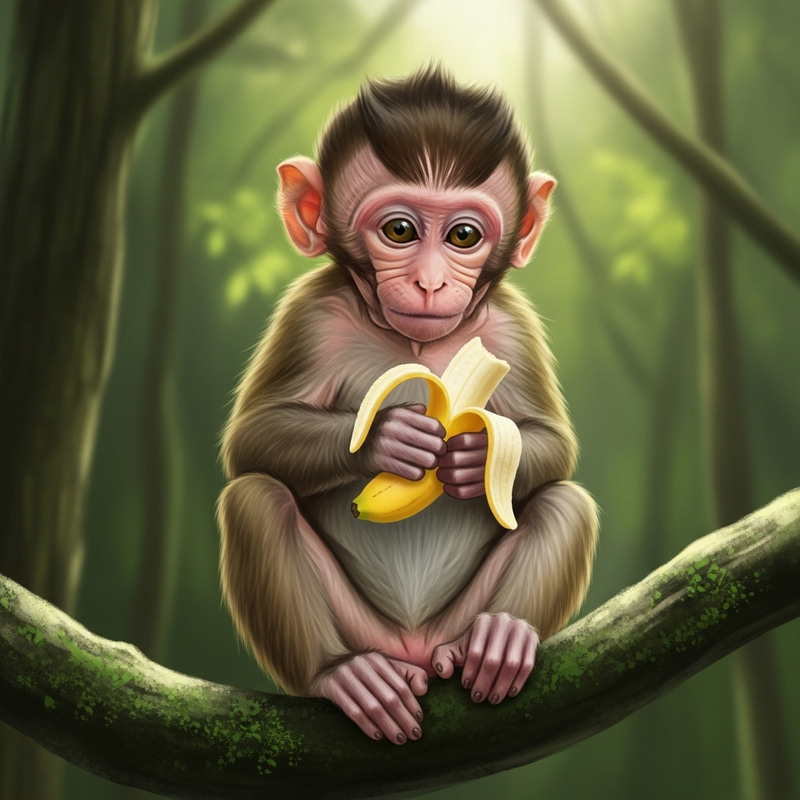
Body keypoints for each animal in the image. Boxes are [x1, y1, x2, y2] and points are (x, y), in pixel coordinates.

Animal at [217, 66, 598, 745]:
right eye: (399, 230)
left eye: (463, 235)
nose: (429, 282)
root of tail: (416, 648)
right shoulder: (309, 312)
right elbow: (252, 440)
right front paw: (388, 439)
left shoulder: (511, 327)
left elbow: (552, 444)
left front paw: (474, 456)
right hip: (366, 630)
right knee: (256, 500)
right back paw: (344, 673)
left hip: (455, 623)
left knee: (565, 503)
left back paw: (503, 635)